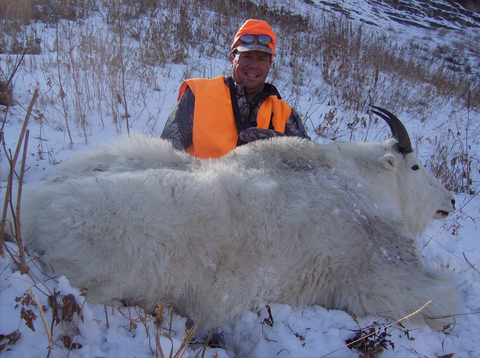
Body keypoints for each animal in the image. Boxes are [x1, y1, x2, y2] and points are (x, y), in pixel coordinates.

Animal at [18, 107, 460, 334]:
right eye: (416, 166)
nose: (450, 200)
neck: (361, 184)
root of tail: (33, 207)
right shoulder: (380, 276)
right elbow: (441, 303)